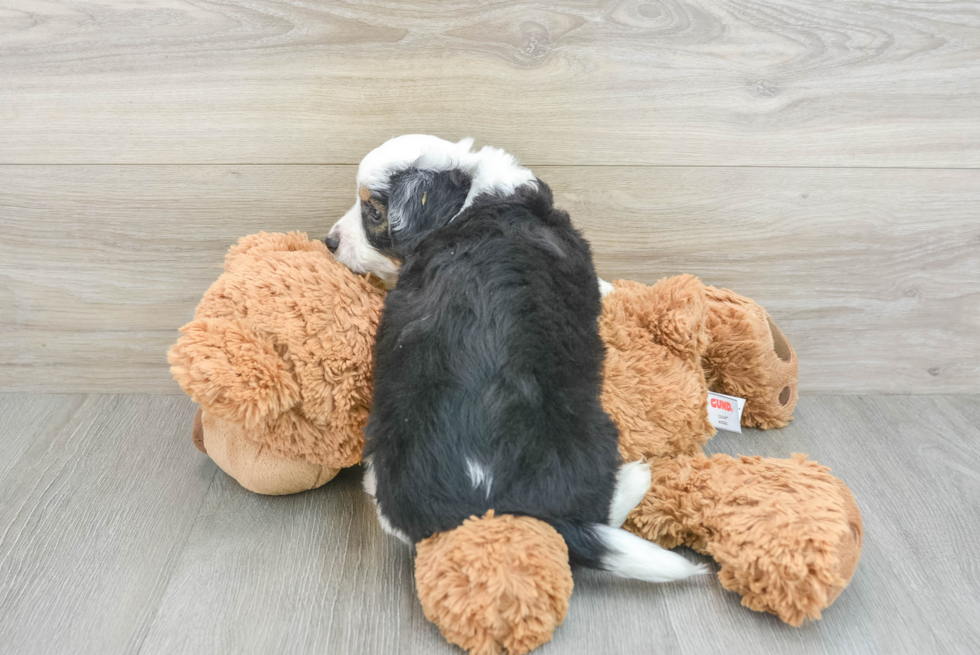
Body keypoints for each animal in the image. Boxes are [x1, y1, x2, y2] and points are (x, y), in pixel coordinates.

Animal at [330, 136, 704, 580]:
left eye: (373, 212)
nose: (329, 242)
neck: (471, 199)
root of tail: (489, 506)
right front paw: (611, 288)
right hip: (593, 433)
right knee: (597, 511)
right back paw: (637, 478)